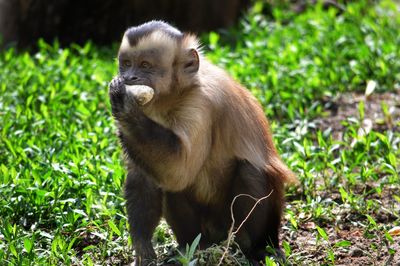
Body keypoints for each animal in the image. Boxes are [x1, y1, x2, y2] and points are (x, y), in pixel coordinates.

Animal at [108, 20, 296, 266]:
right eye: (127, 65)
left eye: (145, 65)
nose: (130, 78)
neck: (177, 93)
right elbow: (150, 176)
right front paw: (143, 246)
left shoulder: (201, 104)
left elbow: (179, 169)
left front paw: (125, 103)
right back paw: (192, 246)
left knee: (249, 171)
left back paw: (254, 248)